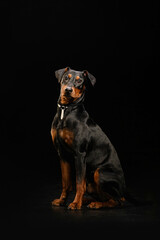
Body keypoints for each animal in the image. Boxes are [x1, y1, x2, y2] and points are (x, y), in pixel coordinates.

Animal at [51, 66, 126, 209]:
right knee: (104, 195)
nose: (68, 90)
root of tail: (123, 191)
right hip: (92, 184)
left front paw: (75, 204)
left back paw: (95, 204)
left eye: (79, 81)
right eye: (66, 77)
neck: (66, 110)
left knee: (117, 201)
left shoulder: (80, 154)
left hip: (99, 172)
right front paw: (62, 200)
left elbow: (79, 183)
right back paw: (87, 201)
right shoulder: (62, 154)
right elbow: (66, 182)